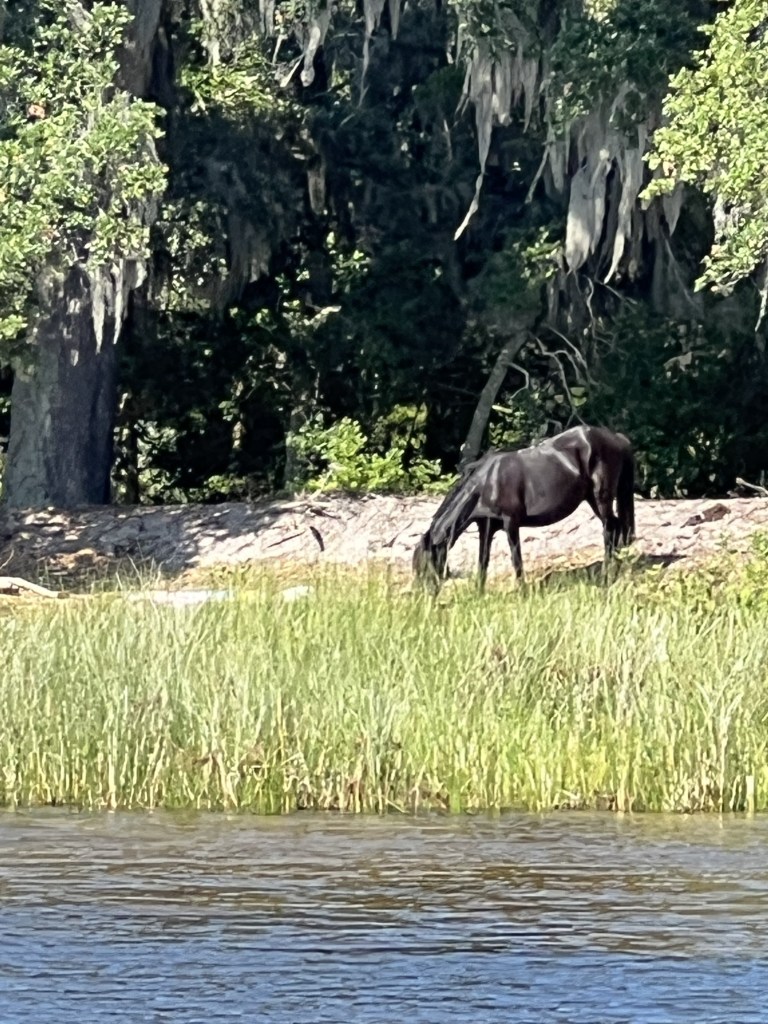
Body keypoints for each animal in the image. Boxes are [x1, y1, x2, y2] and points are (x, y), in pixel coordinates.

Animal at [412, 425, 635, 592]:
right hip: (592, 499)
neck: (488, 482)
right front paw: (479, 593)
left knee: (610, 530)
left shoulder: (511, 523)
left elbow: (516, 559)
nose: (423, 596)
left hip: (601, 498)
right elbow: (483, 561)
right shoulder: (486, 527)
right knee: (617, 529)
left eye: (425, 565)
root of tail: (616, 438)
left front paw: (521, 591)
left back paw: (608, 576)